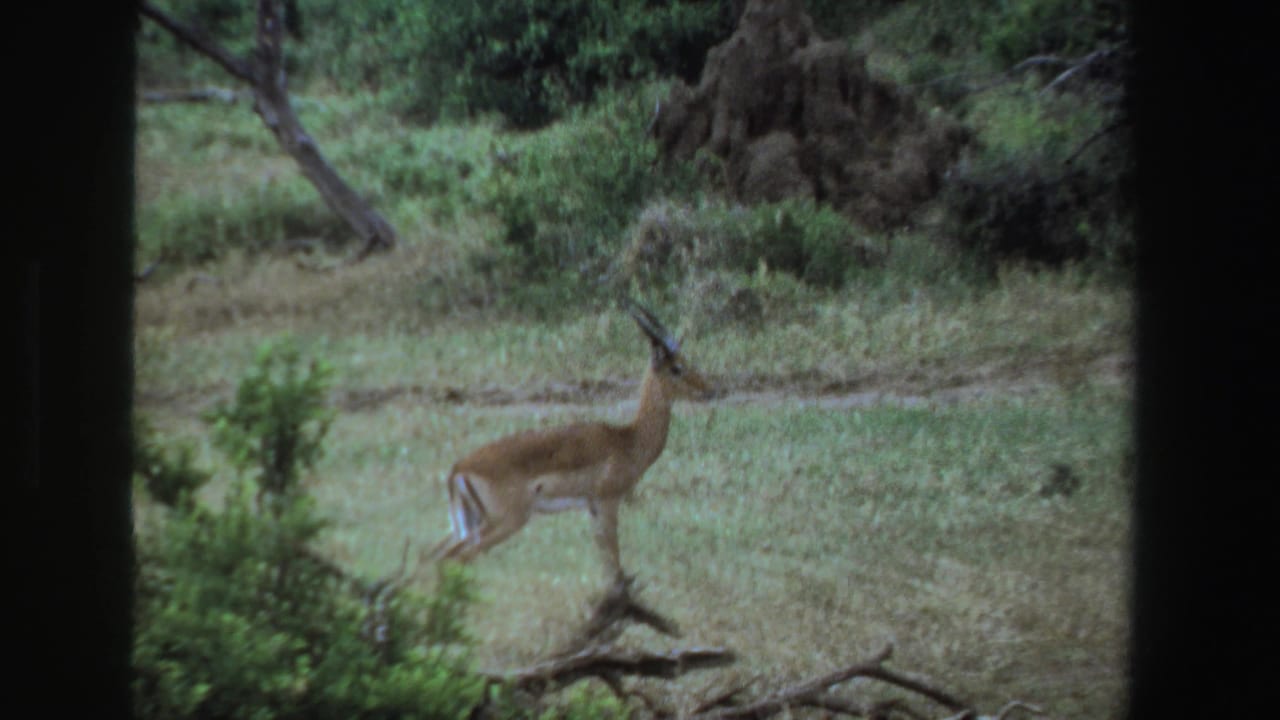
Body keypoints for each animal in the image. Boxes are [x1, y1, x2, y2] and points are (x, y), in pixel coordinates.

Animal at [427, 302, 711, 590]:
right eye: (676, 367)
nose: (708, 389)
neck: (628, 440)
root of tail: (458, 470)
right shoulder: (607, 502)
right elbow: (615, 563)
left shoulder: (592, 509)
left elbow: (608, 564)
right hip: (505, 522)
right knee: (455, 557)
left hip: (467, 524)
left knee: (434, 555)